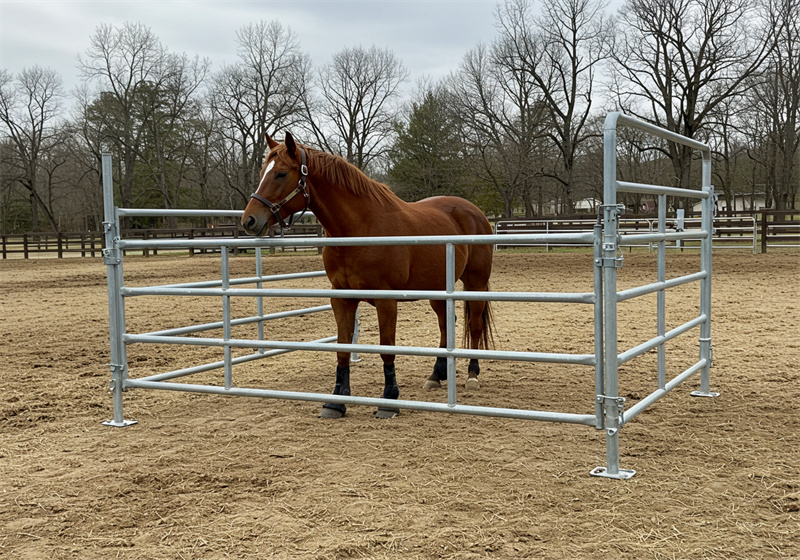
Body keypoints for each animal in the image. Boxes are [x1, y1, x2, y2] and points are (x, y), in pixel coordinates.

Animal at [242, 133, 494, 418]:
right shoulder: (341, 298)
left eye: (282, 173)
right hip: (438, 288)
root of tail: (474, 212)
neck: (361, 228)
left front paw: (389, 400)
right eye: (262, 173)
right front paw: (336, 402)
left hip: (476, 282)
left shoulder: (386, 301)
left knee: (474, 325)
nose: (249, 220)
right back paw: (436, 376)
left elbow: (386, 349)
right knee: (445, 324)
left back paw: (472, 375)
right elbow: (343, 349)